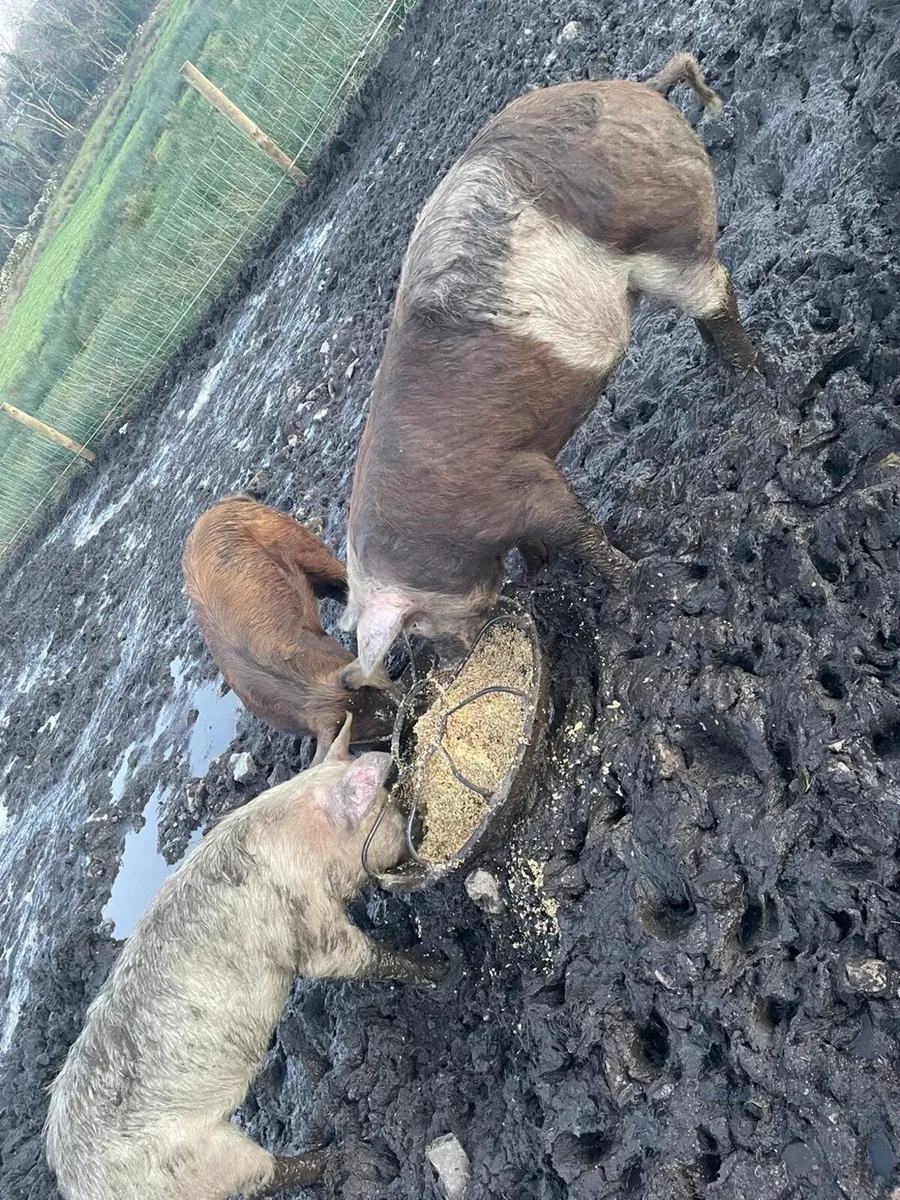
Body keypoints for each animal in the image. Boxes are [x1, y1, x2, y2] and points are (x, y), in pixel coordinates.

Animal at [45, 717, 440, 1200]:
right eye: (388, 807)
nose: (419, 824)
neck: (304, 844)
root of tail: (76, 1182)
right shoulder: (308, 921)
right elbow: (350, 959)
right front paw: (441, 969)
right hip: (202, 1159)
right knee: (266, 1173)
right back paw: (337, 1156)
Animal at [342, 53, 762, 682]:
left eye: (413, 627)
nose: (452, 666)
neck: (438, 540)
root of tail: (642, 91)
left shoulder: (518, 482)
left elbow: (574, 528)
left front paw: (636, 581)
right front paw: (538, 570)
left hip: (669, 237)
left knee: (716, 291)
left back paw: (747, 380)